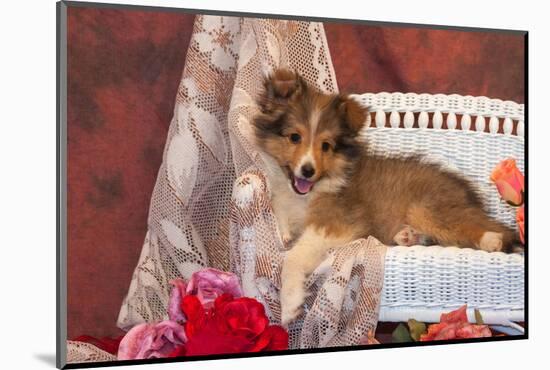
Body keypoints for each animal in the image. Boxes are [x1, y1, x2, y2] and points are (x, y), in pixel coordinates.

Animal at [252, 68, 520, 326]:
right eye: (294, 137)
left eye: (326, 146)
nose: (307, 170)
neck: (311, 190)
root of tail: (466, 193)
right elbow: (281, 215)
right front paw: (284, 232)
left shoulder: (336, 223)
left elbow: (294, 257)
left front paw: (289, 304)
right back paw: (408, 236)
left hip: (426, 209)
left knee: (488, 229)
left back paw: (490, 240)